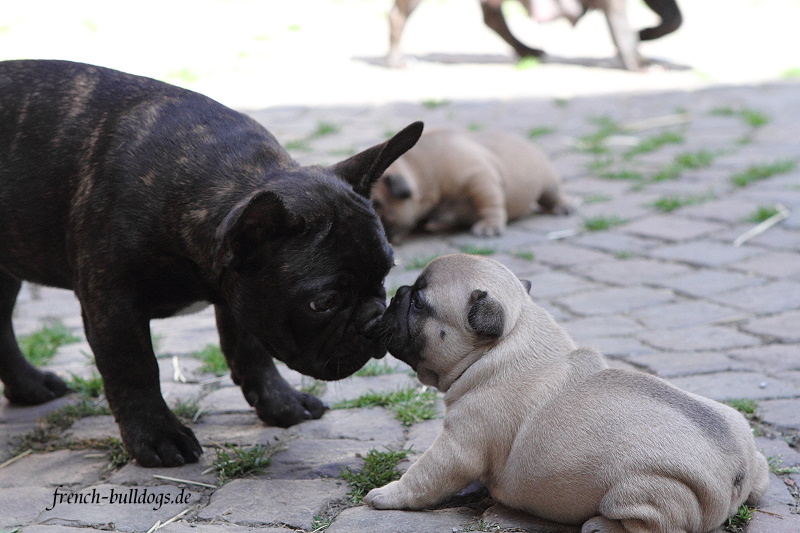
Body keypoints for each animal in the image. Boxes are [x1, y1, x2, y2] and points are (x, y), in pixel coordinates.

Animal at [0, 59, 424, 466]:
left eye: (385, 274)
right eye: (323, 303)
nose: (375, 320)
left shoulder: (241, 293)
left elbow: (250, 349)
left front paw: (282, 402)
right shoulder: (112, 303)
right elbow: (135, 367)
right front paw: (158, 436)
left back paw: (30, 387)